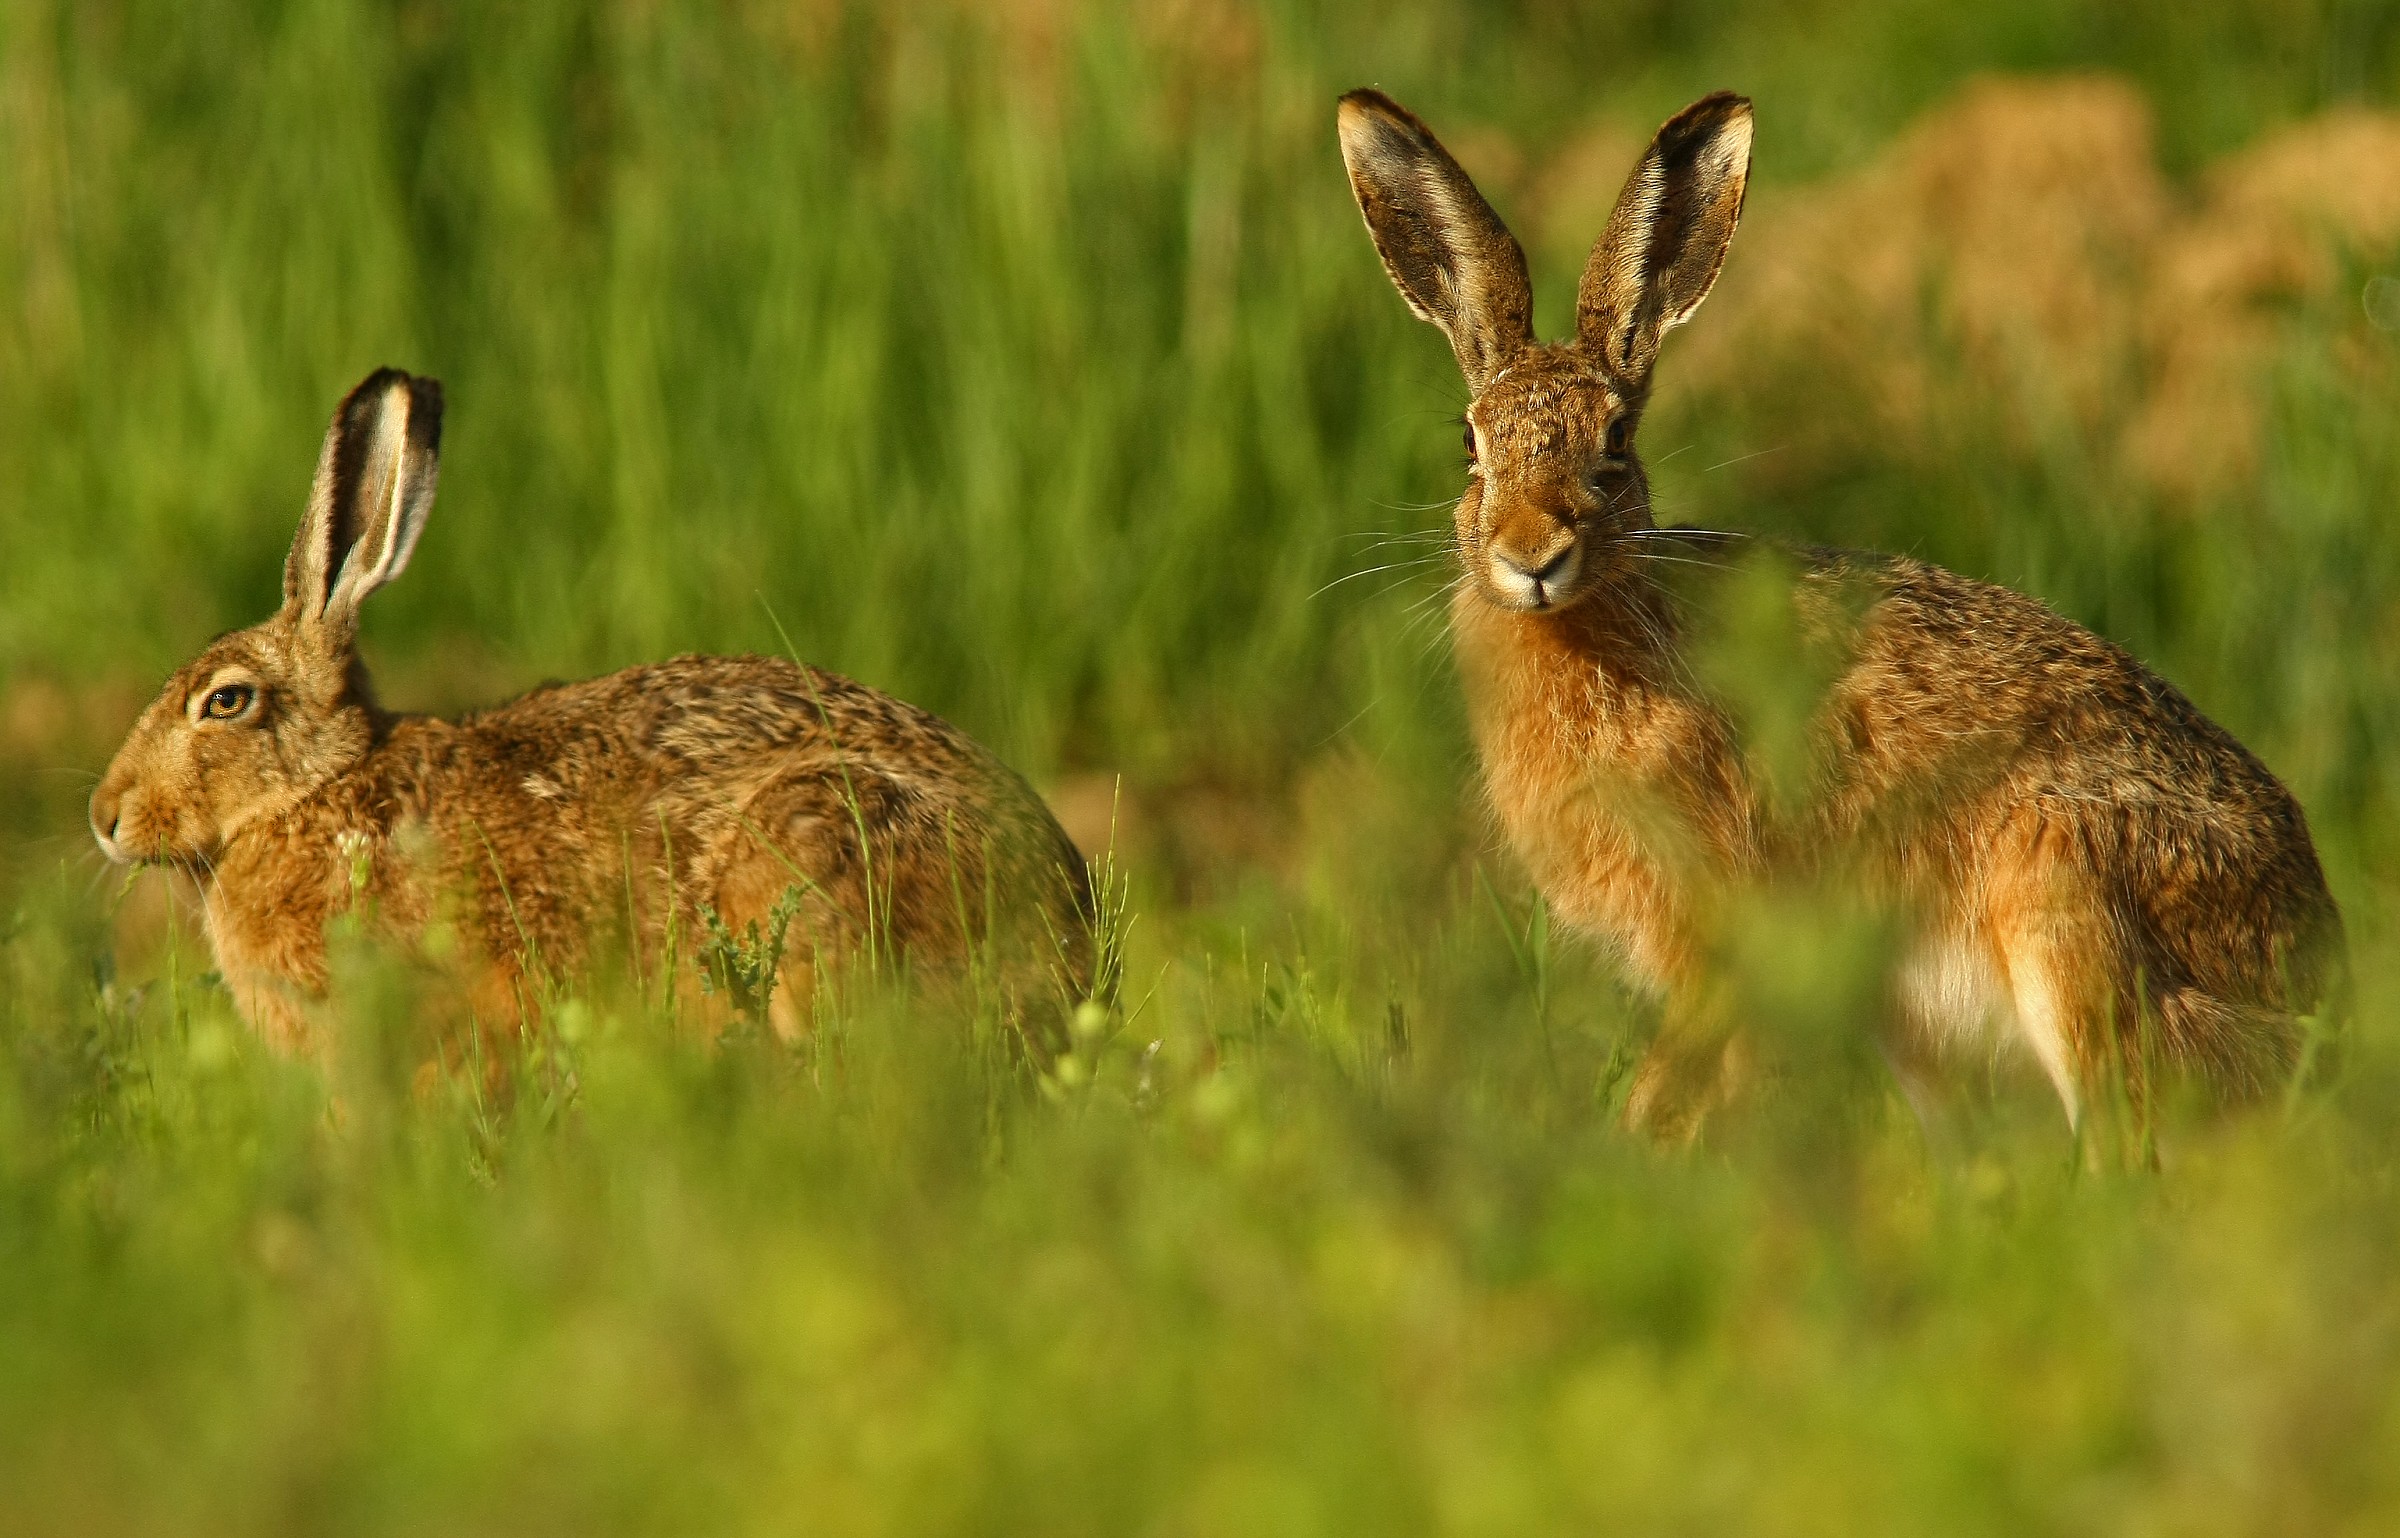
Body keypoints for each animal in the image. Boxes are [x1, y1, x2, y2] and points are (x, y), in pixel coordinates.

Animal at [1336, 88, 2343, 1137]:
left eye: (1614, 442)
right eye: (1470, 445)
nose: (1531, 554)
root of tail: (2321, 978)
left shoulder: (1723, 928)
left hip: (2070, 902)